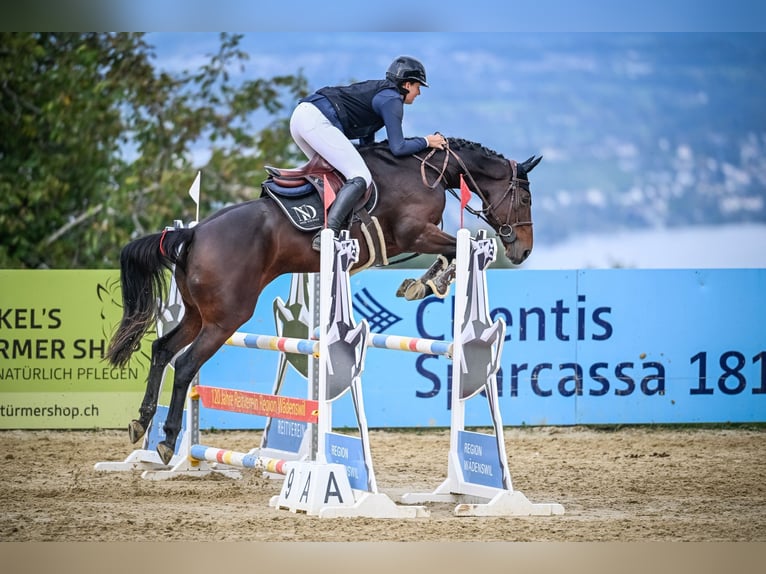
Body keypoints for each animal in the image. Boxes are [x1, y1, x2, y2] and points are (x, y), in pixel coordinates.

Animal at [106, 137, 541, 464]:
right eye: (524, 200)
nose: (523, 251)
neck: (426, 170)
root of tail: (194, 233)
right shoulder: (414, 232)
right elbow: (454, 249)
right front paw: (432, 282)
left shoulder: (416, 236)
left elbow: (451, 251)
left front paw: (421, 285)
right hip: (225, 319)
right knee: (185, 365)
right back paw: (167, 440)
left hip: (199, 314)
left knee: (163, 350)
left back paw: (142, 423)